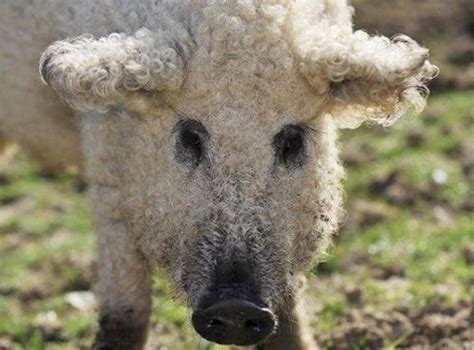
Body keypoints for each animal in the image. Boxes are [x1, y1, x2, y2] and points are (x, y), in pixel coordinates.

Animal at [0, 1, 436, 348]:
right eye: (190, 136)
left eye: (292, 140)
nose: (235, 307)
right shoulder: (105, 153)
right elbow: (125, 313)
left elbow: (287, 319)